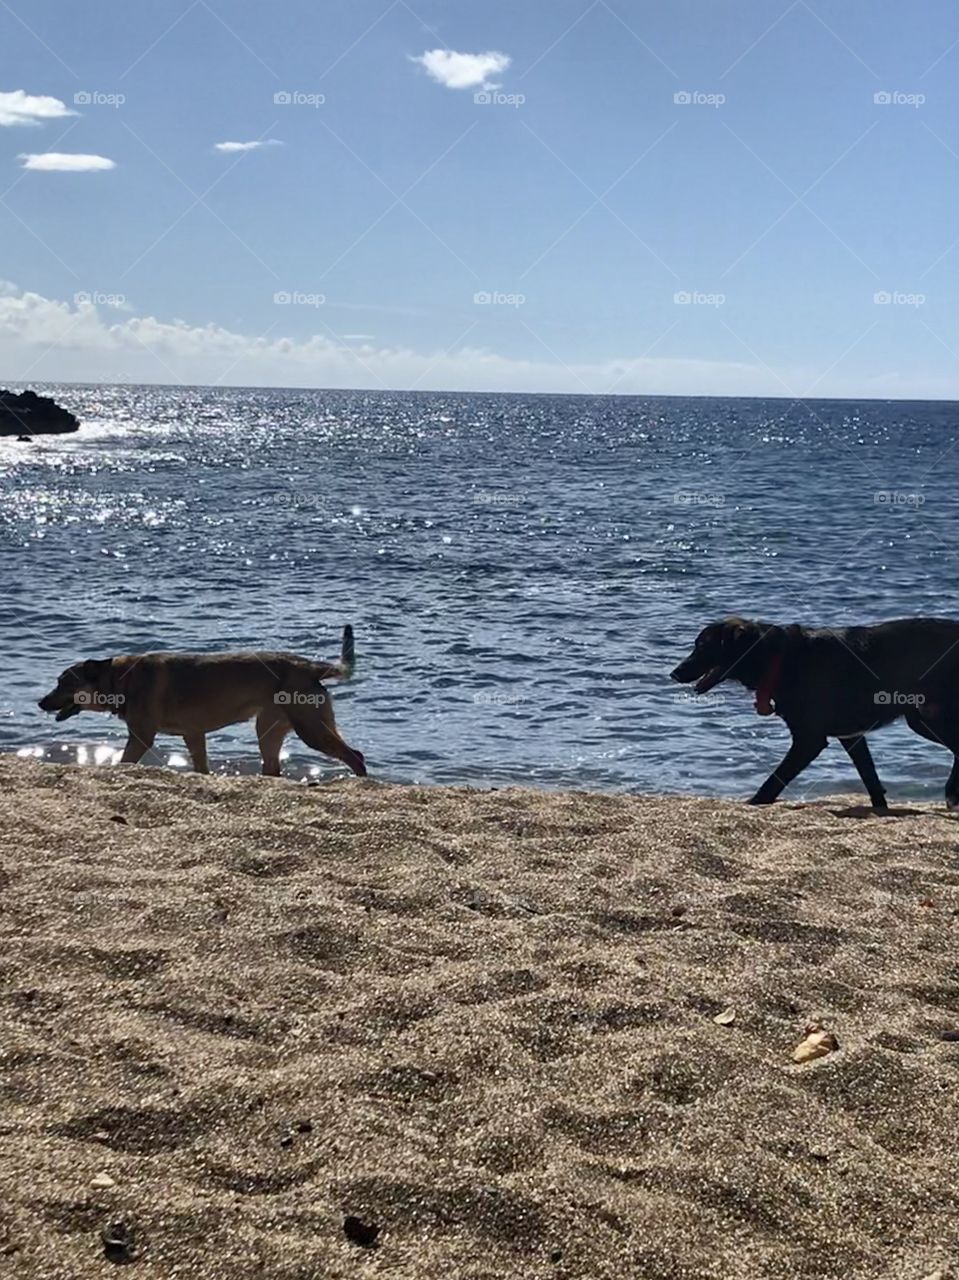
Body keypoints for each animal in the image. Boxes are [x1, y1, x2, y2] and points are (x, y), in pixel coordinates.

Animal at [39, 624, 363, 773]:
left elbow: (125, 761)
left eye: (63, 683)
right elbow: (201, 767)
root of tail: (309, 666)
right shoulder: (193, 735)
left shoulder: (142, 736)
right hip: (271, 728)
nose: (40, 702)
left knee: (355, 756)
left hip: (310, 728)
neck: (120, 680)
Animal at [670, 614, 959, 803]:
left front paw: (754, 802)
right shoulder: (851, 736)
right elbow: (870, 778)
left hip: (929, 717)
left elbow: (775, 779)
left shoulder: (809, 740)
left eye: (702, 646)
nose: (674, 673)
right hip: (922, 718)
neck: (778, 658)